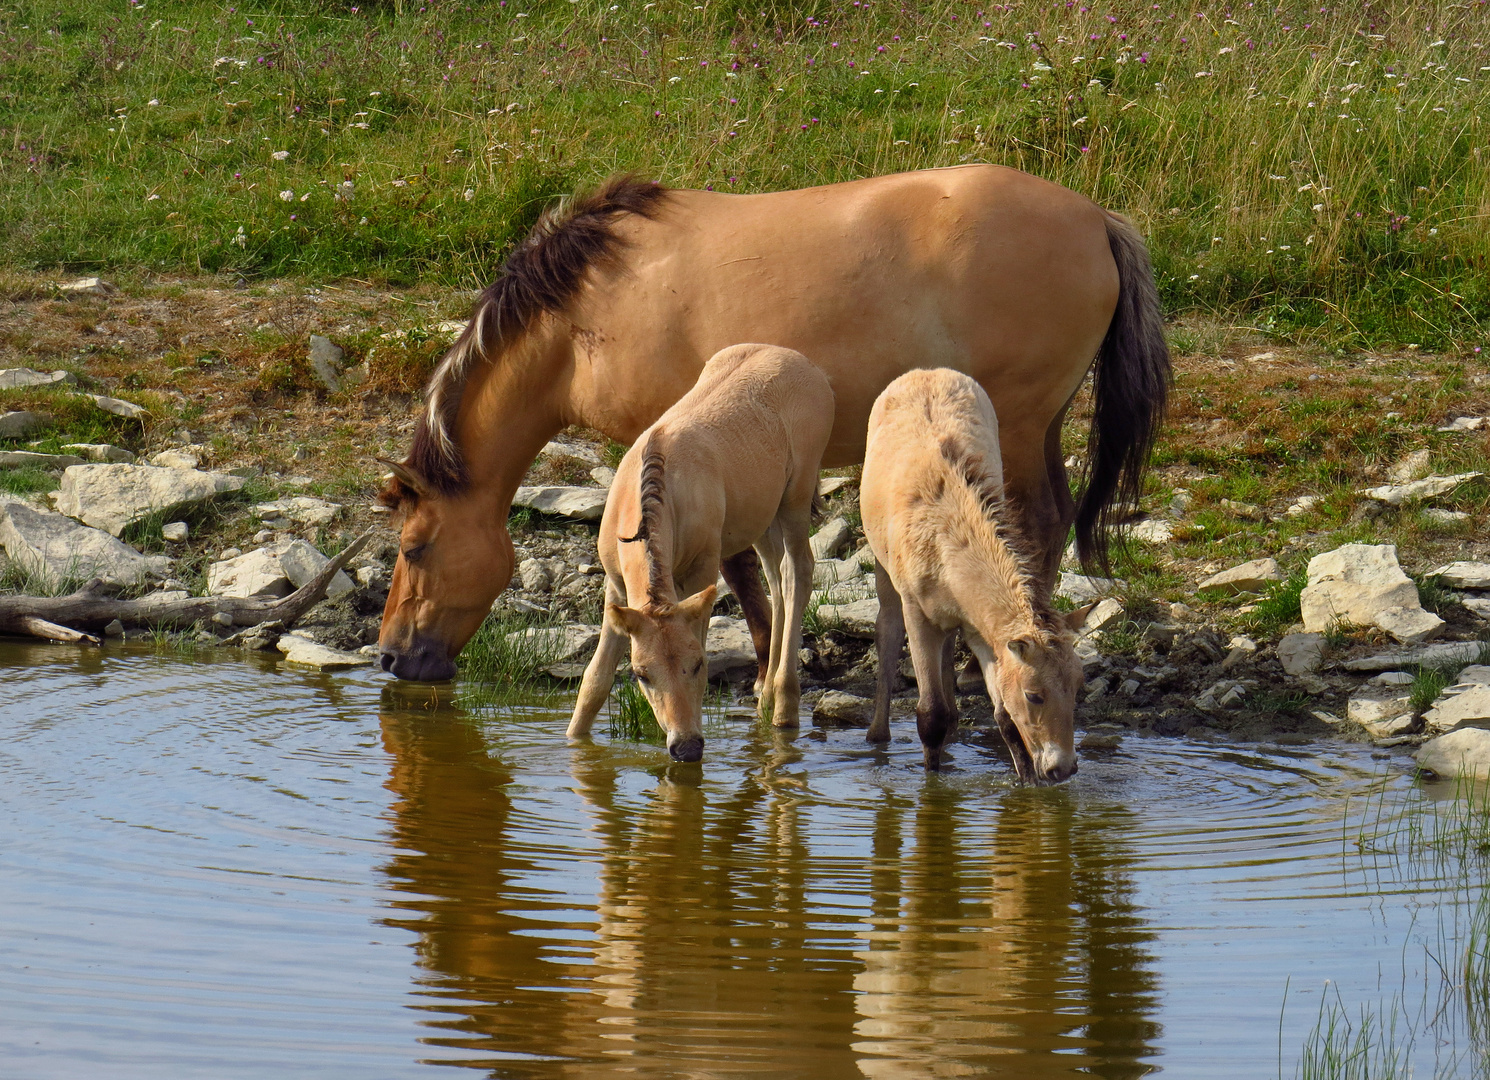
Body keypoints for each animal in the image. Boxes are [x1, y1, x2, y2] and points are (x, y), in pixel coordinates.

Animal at [378, 164, 1168, 679]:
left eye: (414, 548)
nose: (389, 657)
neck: (586, 318)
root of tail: (1096, 219)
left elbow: (734, 565)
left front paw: (766, 661)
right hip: (1040, 422)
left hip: (1020, 420)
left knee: (1036, 524)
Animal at [563, 345, 834, 759]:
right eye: (641, 674)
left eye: (699, 665)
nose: (685, 746)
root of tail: (806, 363)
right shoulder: (617, 584)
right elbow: (595, 680)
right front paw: (575, 741)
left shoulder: (702, 569)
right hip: (761, 515)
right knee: (776, 577)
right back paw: (765, 698)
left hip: (796, 494)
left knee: (798, 571)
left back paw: (784, 708)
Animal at [864, 366, 1084, 780]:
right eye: (1034, 695)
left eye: (1077, 686)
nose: (1062, 768)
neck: (946, 539)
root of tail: (925, 371)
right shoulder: (918, 614)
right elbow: (929, 715)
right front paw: (933, 781)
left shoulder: (982, 629)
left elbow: (1005, 719)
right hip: (883, 566)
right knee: (887, 628)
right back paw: (877, 733)